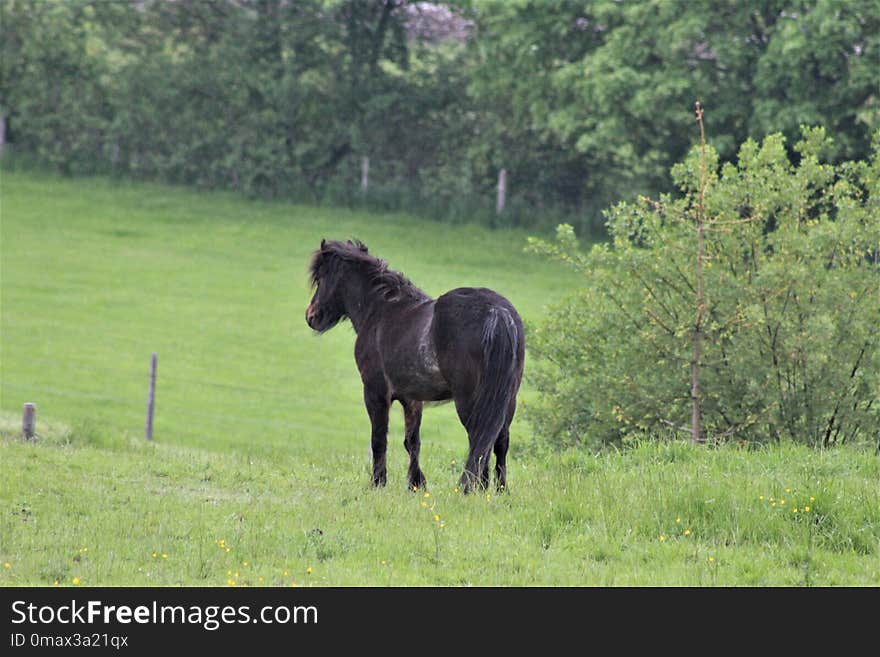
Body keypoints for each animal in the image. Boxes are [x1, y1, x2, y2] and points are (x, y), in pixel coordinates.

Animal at [306, 238, 524, 490]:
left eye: (321, 278)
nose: (311, 316)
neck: (382, 311)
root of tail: (496, 312)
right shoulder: (412, 399)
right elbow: (412, 441)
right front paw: (416, 483)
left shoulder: (375, 392)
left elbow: (379, 439)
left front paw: (378, 482)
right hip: (507, 397)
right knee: (499, 441)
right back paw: (497, 490)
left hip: (470, 399)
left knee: (479, 438)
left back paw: (473, 487)